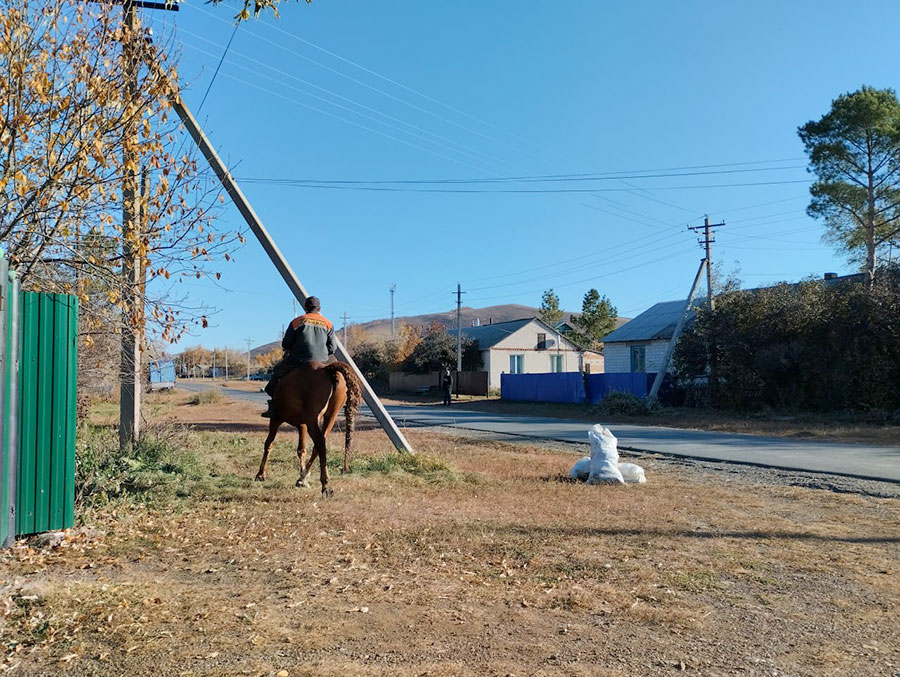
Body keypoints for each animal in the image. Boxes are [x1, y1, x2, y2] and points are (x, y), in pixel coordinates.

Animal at [255, 360, 360, 496]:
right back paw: (302, 478)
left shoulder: (276, 419)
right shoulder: (302, 425)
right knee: (319, 444)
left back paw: (325, 485)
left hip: (312, 420)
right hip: (330, 416)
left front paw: (260, 474)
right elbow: (301, 449)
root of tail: (327, 369)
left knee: (320, 442)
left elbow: (269, 444)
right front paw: (302, 475)